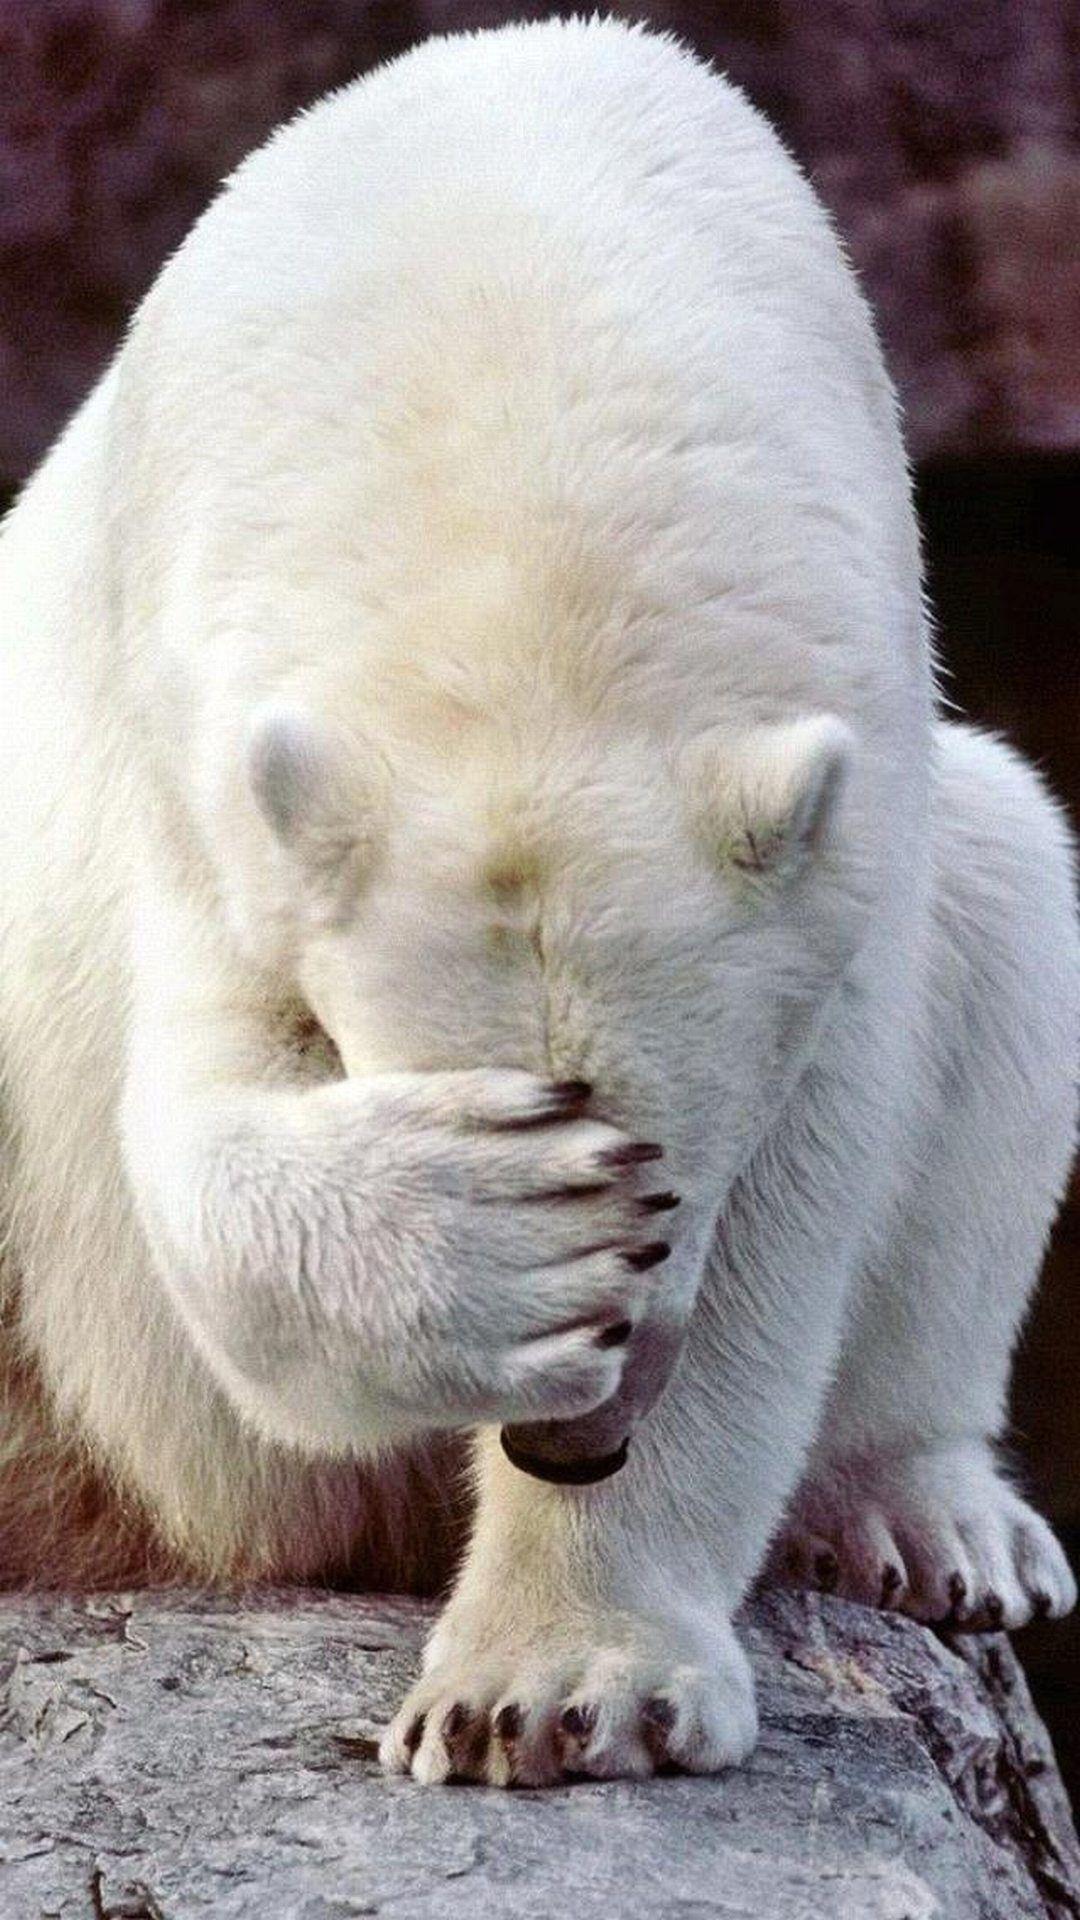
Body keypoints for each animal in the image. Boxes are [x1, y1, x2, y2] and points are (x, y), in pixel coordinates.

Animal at [0, 16, 1075, 1788]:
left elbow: (811, 1183)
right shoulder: (201, 772)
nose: (575, 1444)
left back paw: (936, 1520)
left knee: (1017, 895)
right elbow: (199, 1131)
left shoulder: (852, 832)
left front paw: (559, 1689)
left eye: (676, 1180)